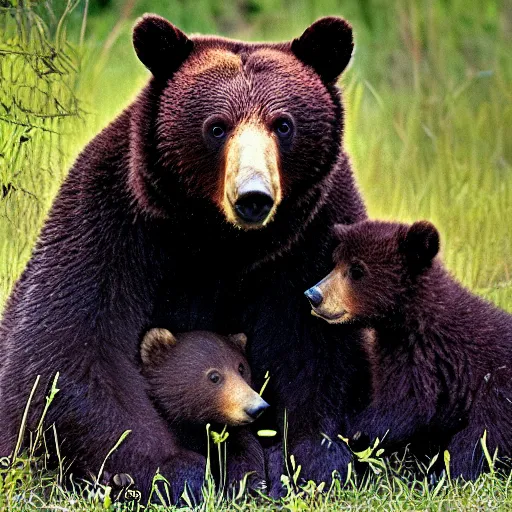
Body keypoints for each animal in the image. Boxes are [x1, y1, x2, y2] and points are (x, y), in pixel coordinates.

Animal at [0, 15, 368, 500]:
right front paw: (179, 472)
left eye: (284, 125)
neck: (220, 243)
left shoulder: (315, 233)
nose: (253, 197)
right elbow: (74, 352)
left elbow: (318, 347)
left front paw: (302, 462)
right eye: (216, 127)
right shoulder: (113, 221)